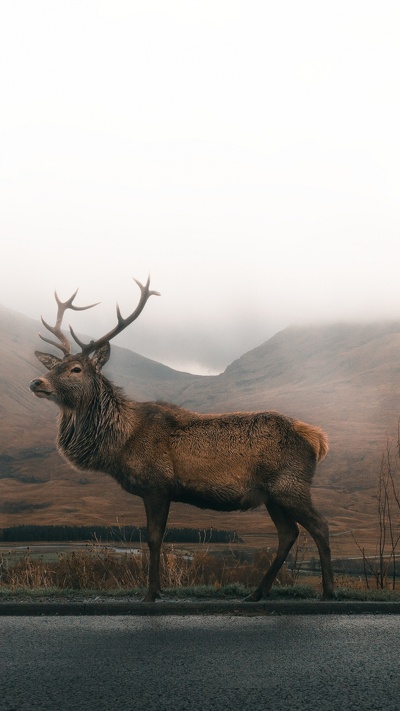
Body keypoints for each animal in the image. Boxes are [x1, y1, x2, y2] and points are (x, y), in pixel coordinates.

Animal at [28, 278, 334, 600]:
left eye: (76, 369)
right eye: (52, 366)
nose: (37, 382)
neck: (120, 443)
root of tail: (317, 439)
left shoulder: (158, 485)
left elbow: (153, 539)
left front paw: (151, 593)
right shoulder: (155, 491)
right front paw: (158, 589)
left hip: (290, 485)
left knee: (320, 525)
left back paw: (328, 591)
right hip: (271, 494)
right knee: (288, 533)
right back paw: (256, 593)